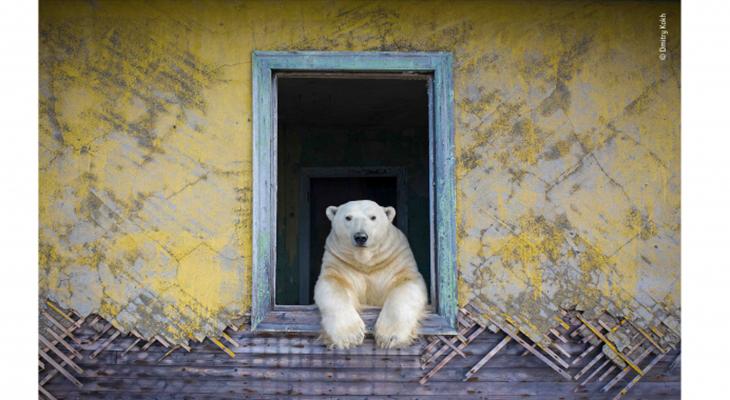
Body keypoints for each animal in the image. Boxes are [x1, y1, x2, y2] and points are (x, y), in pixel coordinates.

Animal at [312, 198, 426, 348]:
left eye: (373, 217)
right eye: (348, 217)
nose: (361, 236)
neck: (365, 262)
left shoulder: (396, 258)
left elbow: (407, 284)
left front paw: (389, 337)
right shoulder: (339, 262)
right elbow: (332, 284)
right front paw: (350, 336)